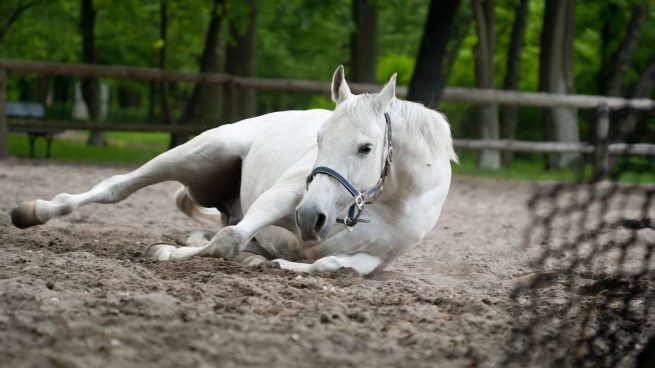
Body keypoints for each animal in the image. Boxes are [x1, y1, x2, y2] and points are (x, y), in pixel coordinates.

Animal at [9, 65, 456, 276]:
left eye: (366, 147)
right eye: (319, 139)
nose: (311, 218)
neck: (389, 201)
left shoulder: (378, 258)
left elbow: (332, 265)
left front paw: (276, 265)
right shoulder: (286, 196)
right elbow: (230, 239)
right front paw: (166, 252)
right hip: (195, 154)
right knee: (116, 187)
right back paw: (32, 212)